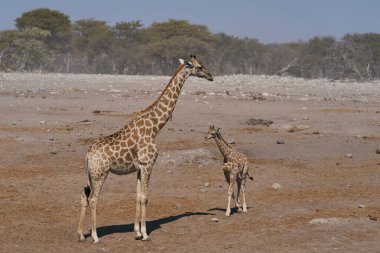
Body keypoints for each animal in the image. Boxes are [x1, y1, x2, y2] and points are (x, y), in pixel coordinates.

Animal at [77, 54, 214, 242]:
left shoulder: (139, 167)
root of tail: (88, 155)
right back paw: (95, 236)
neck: (155, 127)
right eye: (199, 66)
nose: (211, 76)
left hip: (90, 175)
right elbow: (145, 198)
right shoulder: (148, 164)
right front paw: (145, 234)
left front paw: (136, 231)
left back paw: (81, 235)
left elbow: (137, 197)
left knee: (84, 196)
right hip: (100, 174)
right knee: (93, 199)